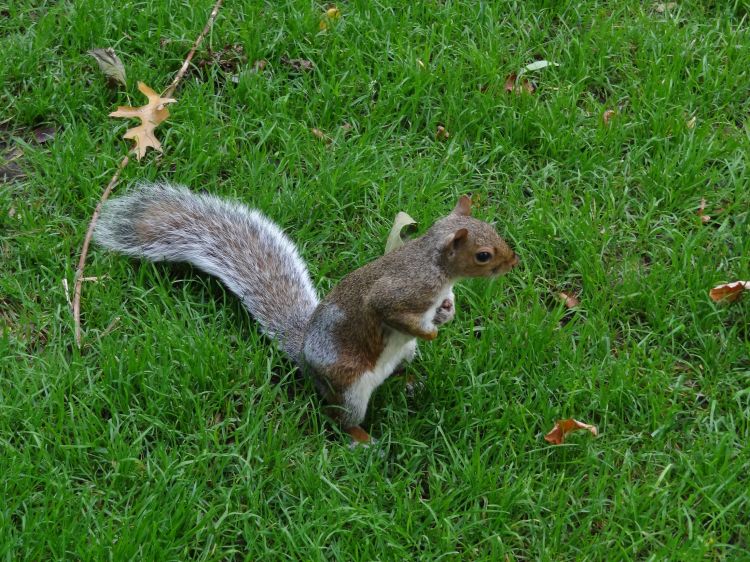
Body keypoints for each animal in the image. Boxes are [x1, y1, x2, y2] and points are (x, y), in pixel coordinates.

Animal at [94, 183, 520, 442]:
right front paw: (430, 330)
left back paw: (409, 381)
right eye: (483, 255)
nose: (513, 261)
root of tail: (302, 353)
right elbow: (391, 312)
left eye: (493, 228)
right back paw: (363, 439)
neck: (435, 265)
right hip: (348, 387)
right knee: (339, 417)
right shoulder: (398, 292)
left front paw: (447, 313)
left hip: (399, 359)